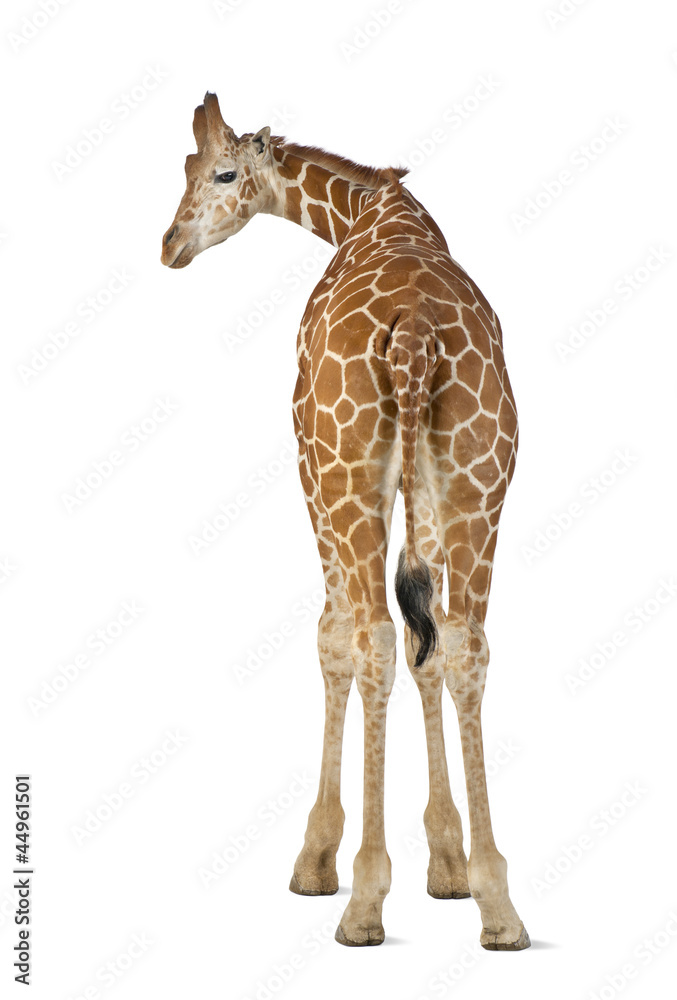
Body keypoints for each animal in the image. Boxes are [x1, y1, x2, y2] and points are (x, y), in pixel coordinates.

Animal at [161, 92, 530, 951]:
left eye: (220, 171)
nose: (170, 245)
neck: (369, 210)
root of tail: (415, 333)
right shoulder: (426, 488)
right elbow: (429, 645)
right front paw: (449, 867)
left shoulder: (309, 467)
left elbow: (336, 640)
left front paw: (318, 860)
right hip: (480, 481)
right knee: (463, 645)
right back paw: (499, 907)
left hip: (344, 475)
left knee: (372, 641)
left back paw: (363, 901)